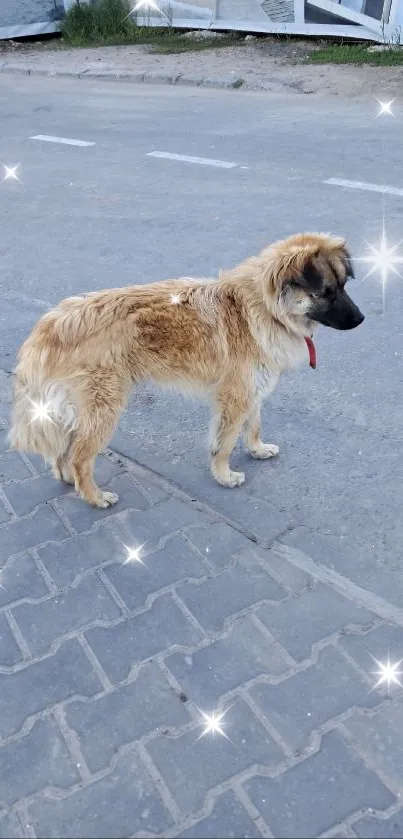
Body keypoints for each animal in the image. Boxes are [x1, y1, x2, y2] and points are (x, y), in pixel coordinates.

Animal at [7, 231, 364, 506]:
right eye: (326, 292)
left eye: (343, 286)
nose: (362, 320)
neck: (262, 308)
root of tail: (52, 323)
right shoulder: (234, 398)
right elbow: (225, 442)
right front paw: (224, 476)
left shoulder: (252, 390)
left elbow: (253, 426)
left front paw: (258, 450)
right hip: (103, 408)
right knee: (79, 456)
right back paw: (94, 497)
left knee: (62, 451)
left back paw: (69, 481)